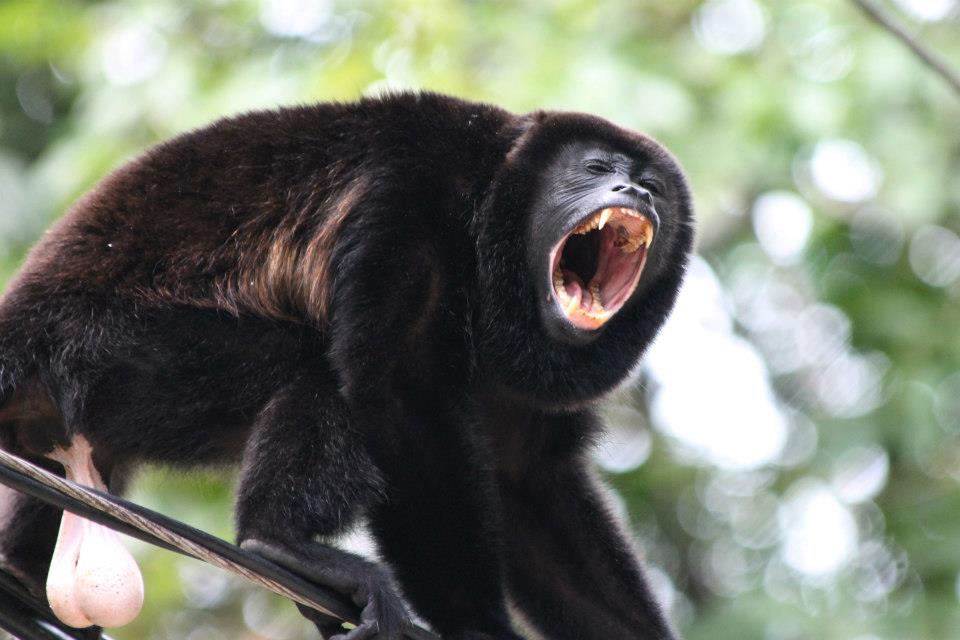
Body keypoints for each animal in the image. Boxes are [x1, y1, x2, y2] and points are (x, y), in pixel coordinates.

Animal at [0, 94, 688, 640]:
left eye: (653, 185)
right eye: (595, 169)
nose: (635, 191)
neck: (492, 201)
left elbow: (525, 481)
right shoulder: (414, 200)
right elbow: (403, 404)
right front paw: (479, 626)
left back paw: (22, 583)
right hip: (99, 353)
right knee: (309, 371)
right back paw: (279, 541)